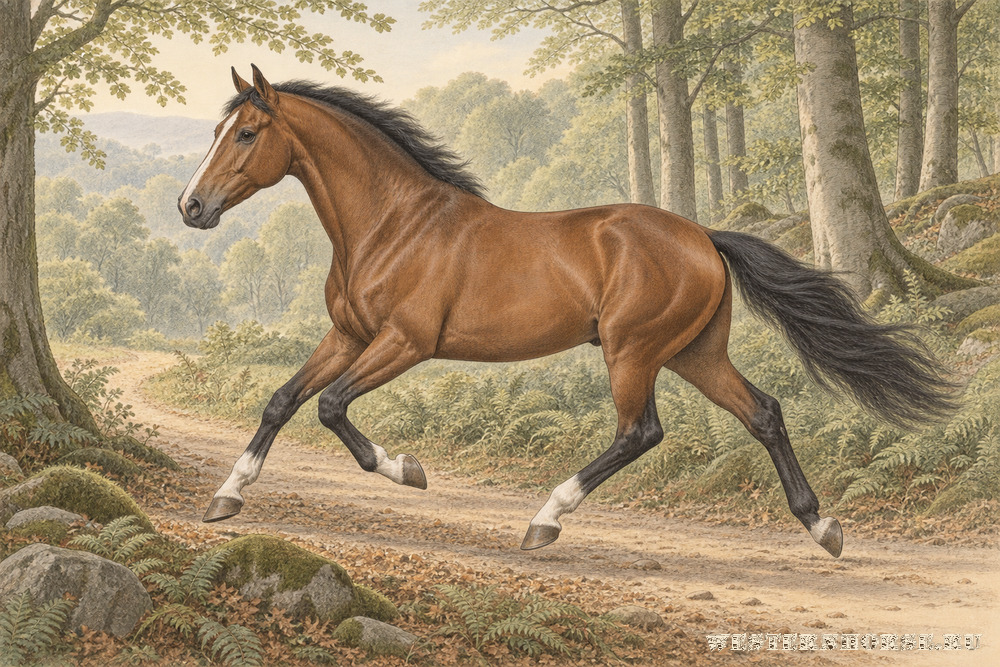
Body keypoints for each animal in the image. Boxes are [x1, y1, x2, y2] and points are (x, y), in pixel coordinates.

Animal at [178, 65, 954, 558]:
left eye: (246, 133)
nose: (191, 207)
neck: (394, 222)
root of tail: (703, 236)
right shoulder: (348, 335)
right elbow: (282, 400)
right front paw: (226, 496)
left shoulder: (403, 342)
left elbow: (331, 407)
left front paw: (409, 470)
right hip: (695, 352)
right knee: (763, 412)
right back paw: (823, 527)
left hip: (633, 351)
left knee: (640, 431)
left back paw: (544, 521)